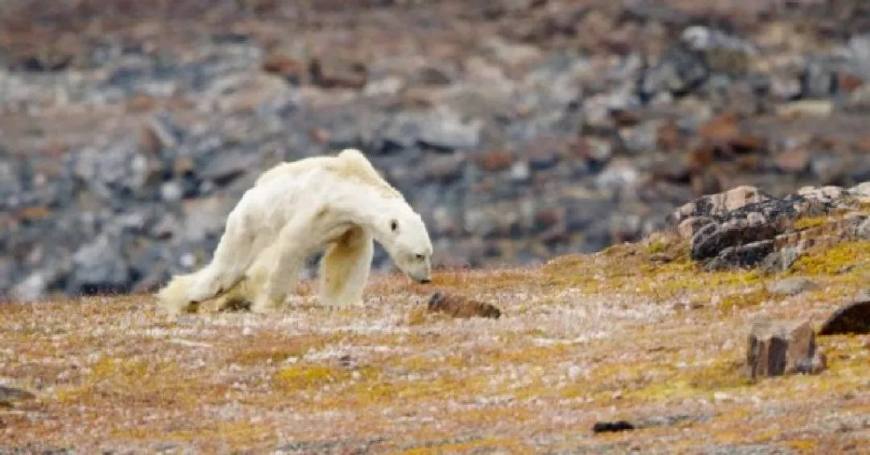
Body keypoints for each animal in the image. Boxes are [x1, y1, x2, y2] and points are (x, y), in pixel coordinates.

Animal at [158, 150, 436, 318]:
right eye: (419, 255)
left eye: (428, 253)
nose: (426, 279)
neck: (348, 185)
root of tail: (247, 196)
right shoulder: (316, 209)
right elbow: (289, 249)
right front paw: (268, 304)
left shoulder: (349, 224)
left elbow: (348, 257)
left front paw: (345, 301)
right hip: (249, 226)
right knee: (227, 270)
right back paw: (185, 299)